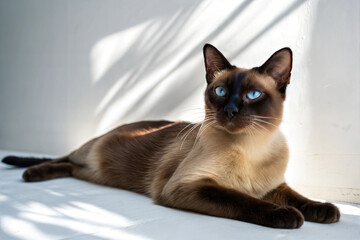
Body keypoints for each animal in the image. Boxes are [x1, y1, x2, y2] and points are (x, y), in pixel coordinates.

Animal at [2, 43, 340, 229]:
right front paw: (287, 216)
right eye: (220, 91)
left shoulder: (273, 185)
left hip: (90, 171)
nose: (230, 110)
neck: (250, 149)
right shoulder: (189, 186)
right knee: (66, 158)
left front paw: (325, 210)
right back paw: (31, 174)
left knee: (73, 167)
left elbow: (298, 196)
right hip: (90, 154)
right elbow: (243, 200)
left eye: (253, 95)